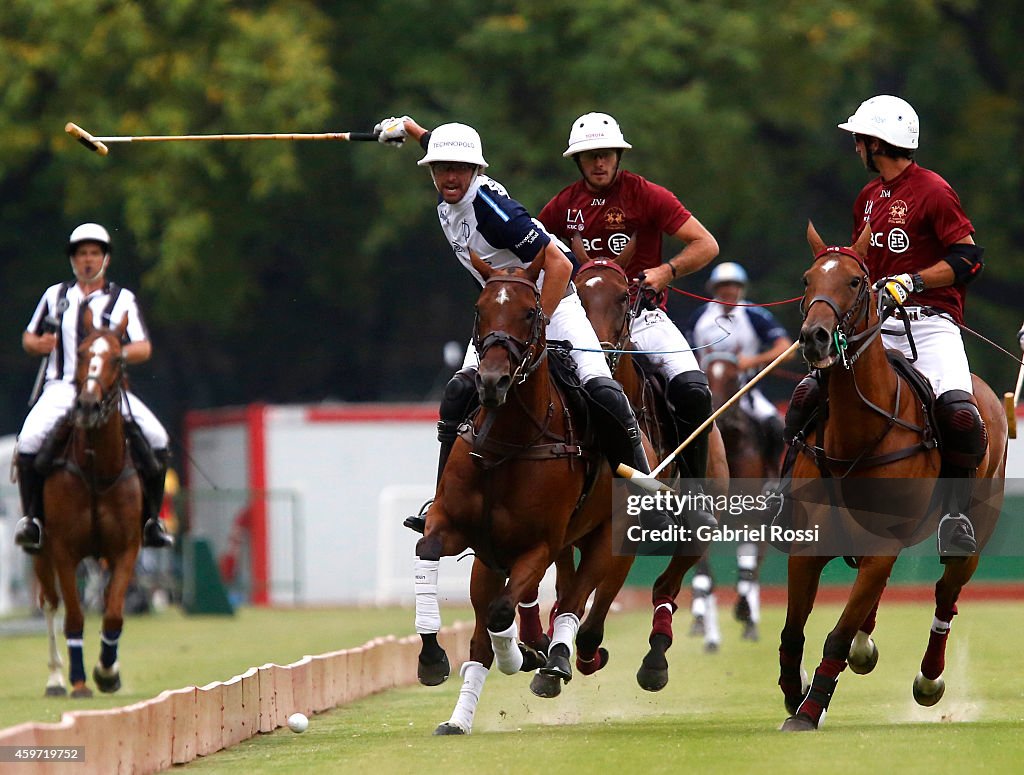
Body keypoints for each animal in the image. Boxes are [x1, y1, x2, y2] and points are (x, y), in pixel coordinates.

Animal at [32, 311, 142, 700]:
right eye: (80, 353)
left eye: (119, 359)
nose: (89, 406)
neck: (97, 469)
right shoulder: (63, 549)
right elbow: (75, 616)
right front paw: (79, 680)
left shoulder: (126, 548)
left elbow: (113, 612)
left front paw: (107, 672)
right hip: (40, 549)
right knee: (50, 601)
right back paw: (55, 679)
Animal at [415, 252, 630, 733]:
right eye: (479, 309)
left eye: (531, 312)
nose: (492, 382)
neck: (508, 442)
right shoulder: (456, 528)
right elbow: (427, 549)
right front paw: (432, 658)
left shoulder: (540, 546)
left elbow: (501, 612)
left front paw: (522, 655)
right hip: (490, 561)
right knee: (483, 636)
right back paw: (458, 719)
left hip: (602, 537)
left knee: (571, 602)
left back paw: (553, 663)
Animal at [778, 224, 1003, 733]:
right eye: (806, 280)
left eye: (855, 281)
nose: (814, 338)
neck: (854, 435)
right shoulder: (809, 544)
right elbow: (793, 630)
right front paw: (794, 694)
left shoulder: (883, 543)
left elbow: (836, 636)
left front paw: (809, 711)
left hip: (976, 530)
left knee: (946, 595)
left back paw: (929, 678)